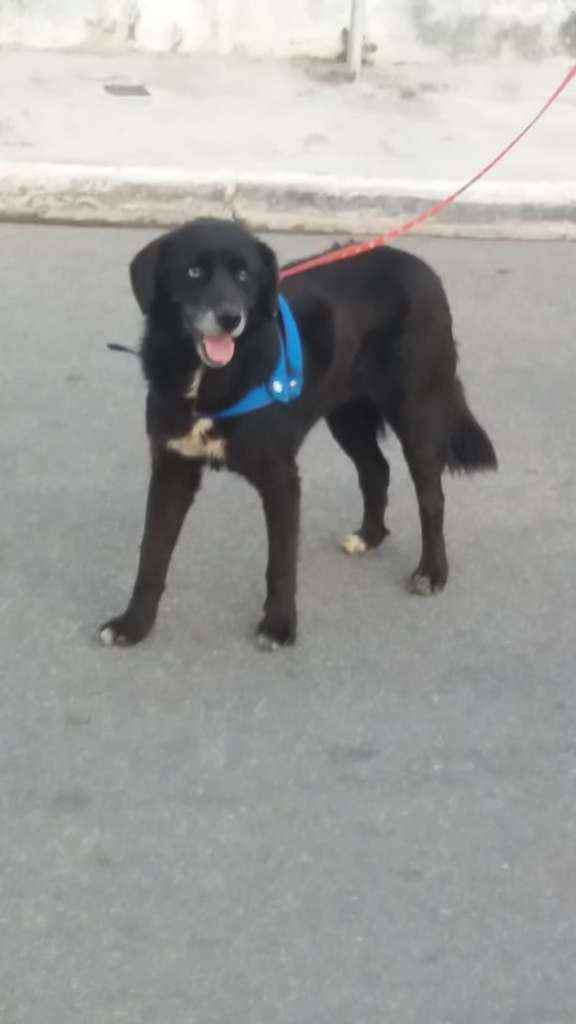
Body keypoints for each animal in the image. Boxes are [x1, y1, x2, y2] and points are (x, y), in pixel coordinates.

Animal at [99, 217, 497, 651]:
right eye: (194, 272)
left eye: (244, 275)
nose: (229, 317)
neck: (209, 382)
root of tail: (421, 268)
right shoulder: (173, 468)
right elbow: (152, 554)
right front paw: (134, 623)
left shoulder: (281, 479)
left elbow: (281, 562)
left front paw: (279, 625)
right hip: (347, 416)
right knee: (376, 469)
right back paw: (369, 536)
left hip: (417, 413)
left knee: (431, 497)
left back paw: (432, 572)